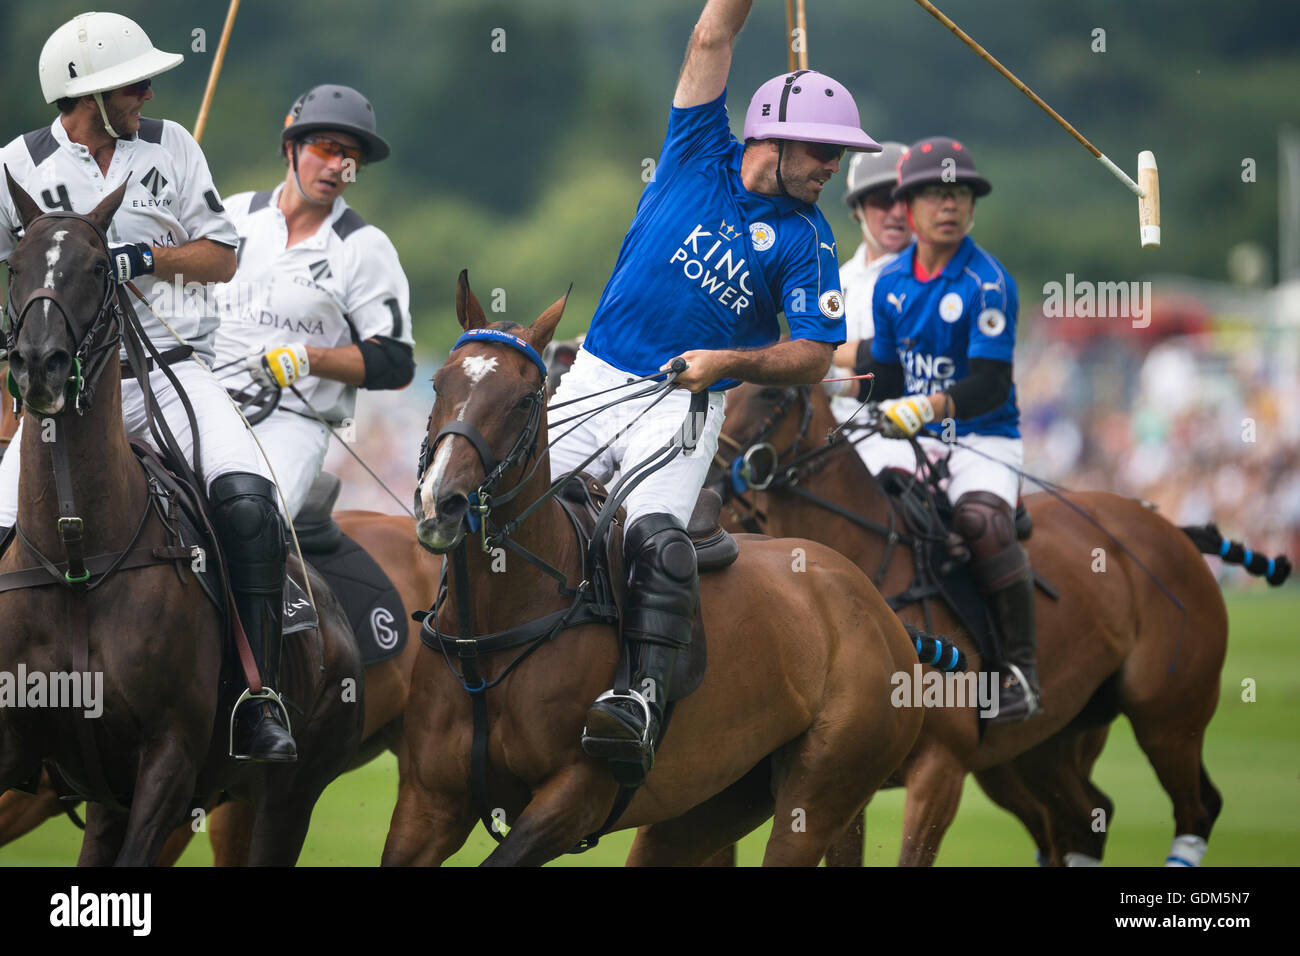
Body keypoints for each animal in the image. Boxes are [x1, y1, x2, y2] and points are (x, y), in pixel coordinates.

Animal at [1, 174, 366, 868]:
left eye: (100, 266)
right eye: (14, 264)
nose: (39, 365)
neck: (76, 557)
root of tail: (332, 609)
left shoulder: (169, 761)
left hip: (285, 797)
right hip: (111, 801)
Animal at [379, 274, 920, 868]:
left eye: (524, 400)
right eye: (437, 383)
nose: (442, 503)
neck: (490, 634)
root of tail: (877, 607)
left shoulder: (573, 800)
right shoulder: (427, 804)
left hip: (823, 793)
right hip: (708, 805)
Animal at [712, 382, 1268, 868]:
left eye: (770, 392)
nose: (711, 479)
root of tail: (1170, 526)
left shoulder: (941, 768)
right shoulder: (841, 778)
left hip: (1169, 713)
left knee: (1196, 807)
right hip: (1041, 747)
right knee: (1086, 817)